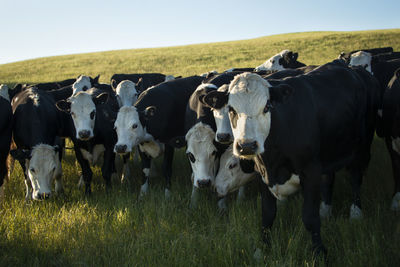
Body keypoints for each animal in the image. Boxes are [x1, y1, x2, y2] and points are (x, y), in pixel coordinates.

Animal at [205, 61, 382, 256]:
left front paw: (319, 252)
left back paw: (356, 213)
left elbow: (310, 217)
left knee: (355, 178)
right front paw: (261, 250)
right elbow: (267, 214)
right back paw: (326, 211)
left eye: (267, 107)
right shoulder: (263, 174)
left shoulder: (310, 171)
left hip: (362, 144)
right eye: (231, 109)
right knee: (329, 178)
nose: (247, 145)